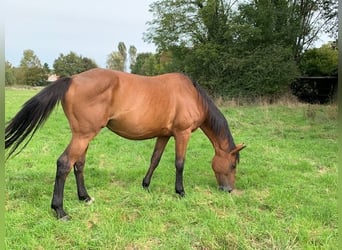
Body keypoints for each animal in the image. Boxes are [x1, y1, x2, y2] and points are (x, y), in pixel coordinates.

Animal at [5, 68, 246, 219]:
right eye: (233, 164)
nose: (228, 190)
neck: (192, 95)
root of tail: (72, 79)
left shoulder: (164, 135)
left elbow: (155, 159)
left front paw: (146, 185)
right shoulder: (182, 134)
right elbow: (179, 163)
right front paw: (180, 192)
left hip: (83, 136)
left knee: (78, 164)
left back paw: (85, 198)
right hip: (83, 135)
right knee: (64, 164)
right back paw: (60, 211)